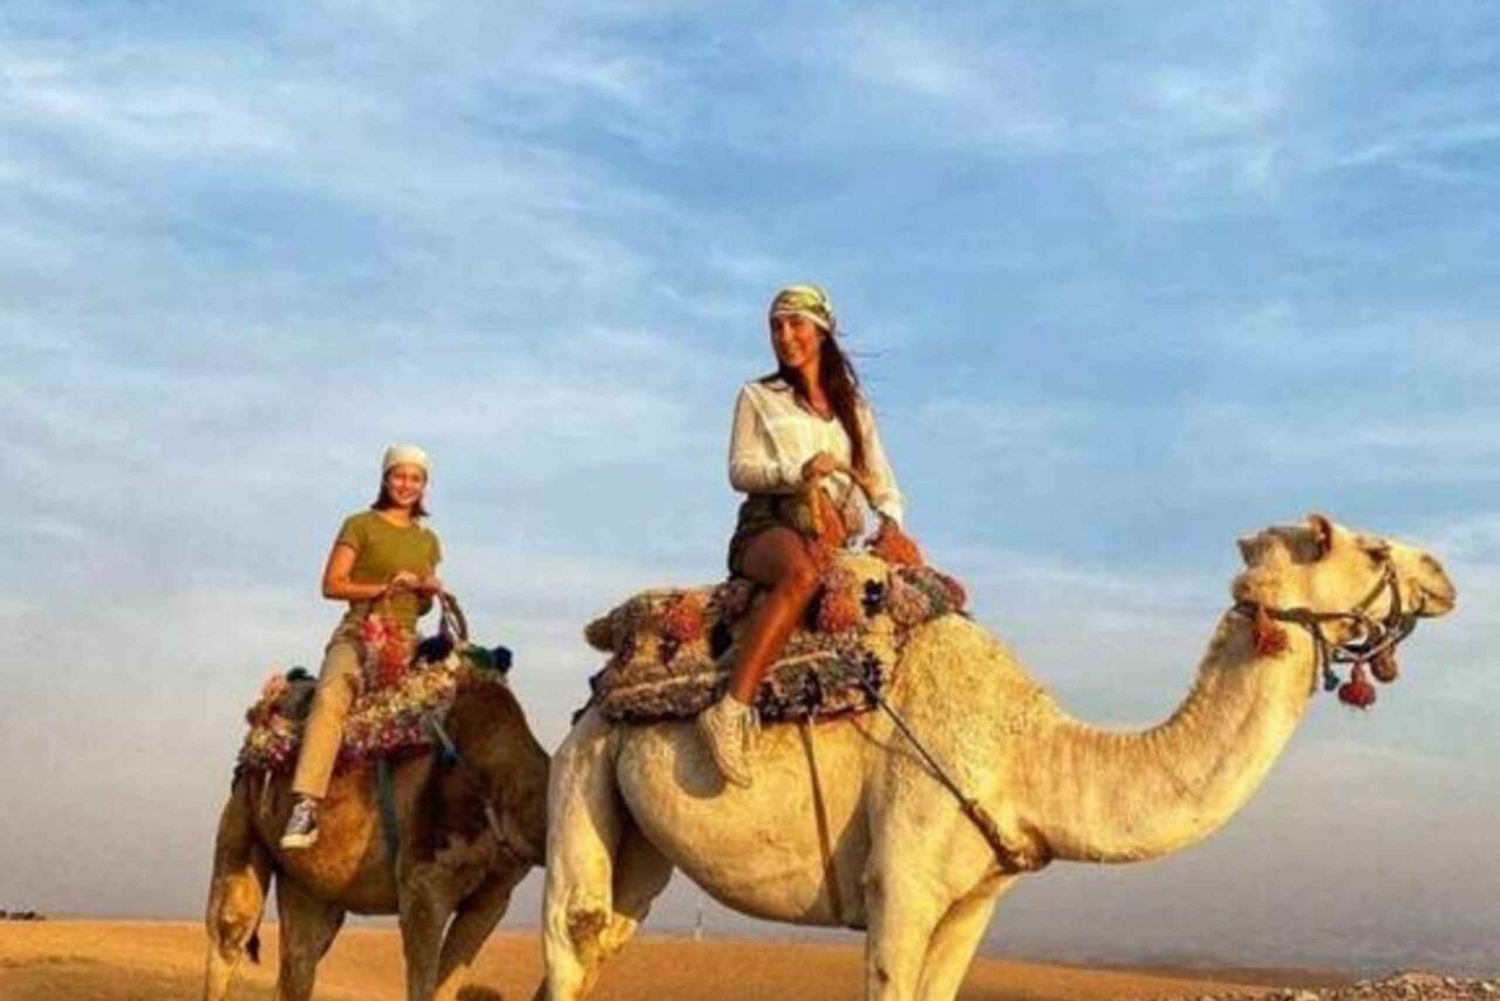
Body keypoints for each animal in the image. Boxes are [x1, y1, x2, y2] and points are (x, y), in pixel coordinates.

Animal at [203, 670, 550, 1001]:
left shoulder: (493, 897)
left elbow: (447, 984)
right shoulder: (424, 882)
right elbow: (423, 985)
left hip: (309, 884)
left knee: (301, 957)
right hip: (242, 817)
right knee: (230, 930)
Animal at [538, 515, 1457, 1001]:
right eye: (1373, 549)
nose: (1444, 572)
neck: (1026, 754)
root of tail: (603, 664)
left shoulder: (975, 899)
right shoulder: (900, 886)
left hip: (637, 840)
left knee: (604, 937)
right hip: (582, 770)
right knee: (573, 929)